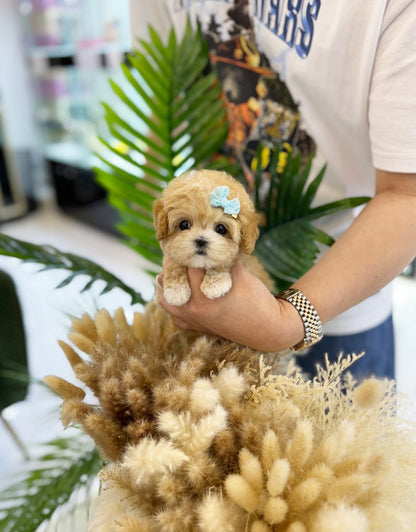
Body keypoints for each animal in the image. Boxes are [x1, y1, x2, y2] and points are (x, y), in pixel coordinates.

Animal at [153, 168, 272, 306]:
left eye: (221, 229)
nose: (201, 241)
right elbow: (174, 263)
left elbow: (223, 261)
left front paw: (215, 284)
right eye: (184, 224)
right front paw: (176, 289)